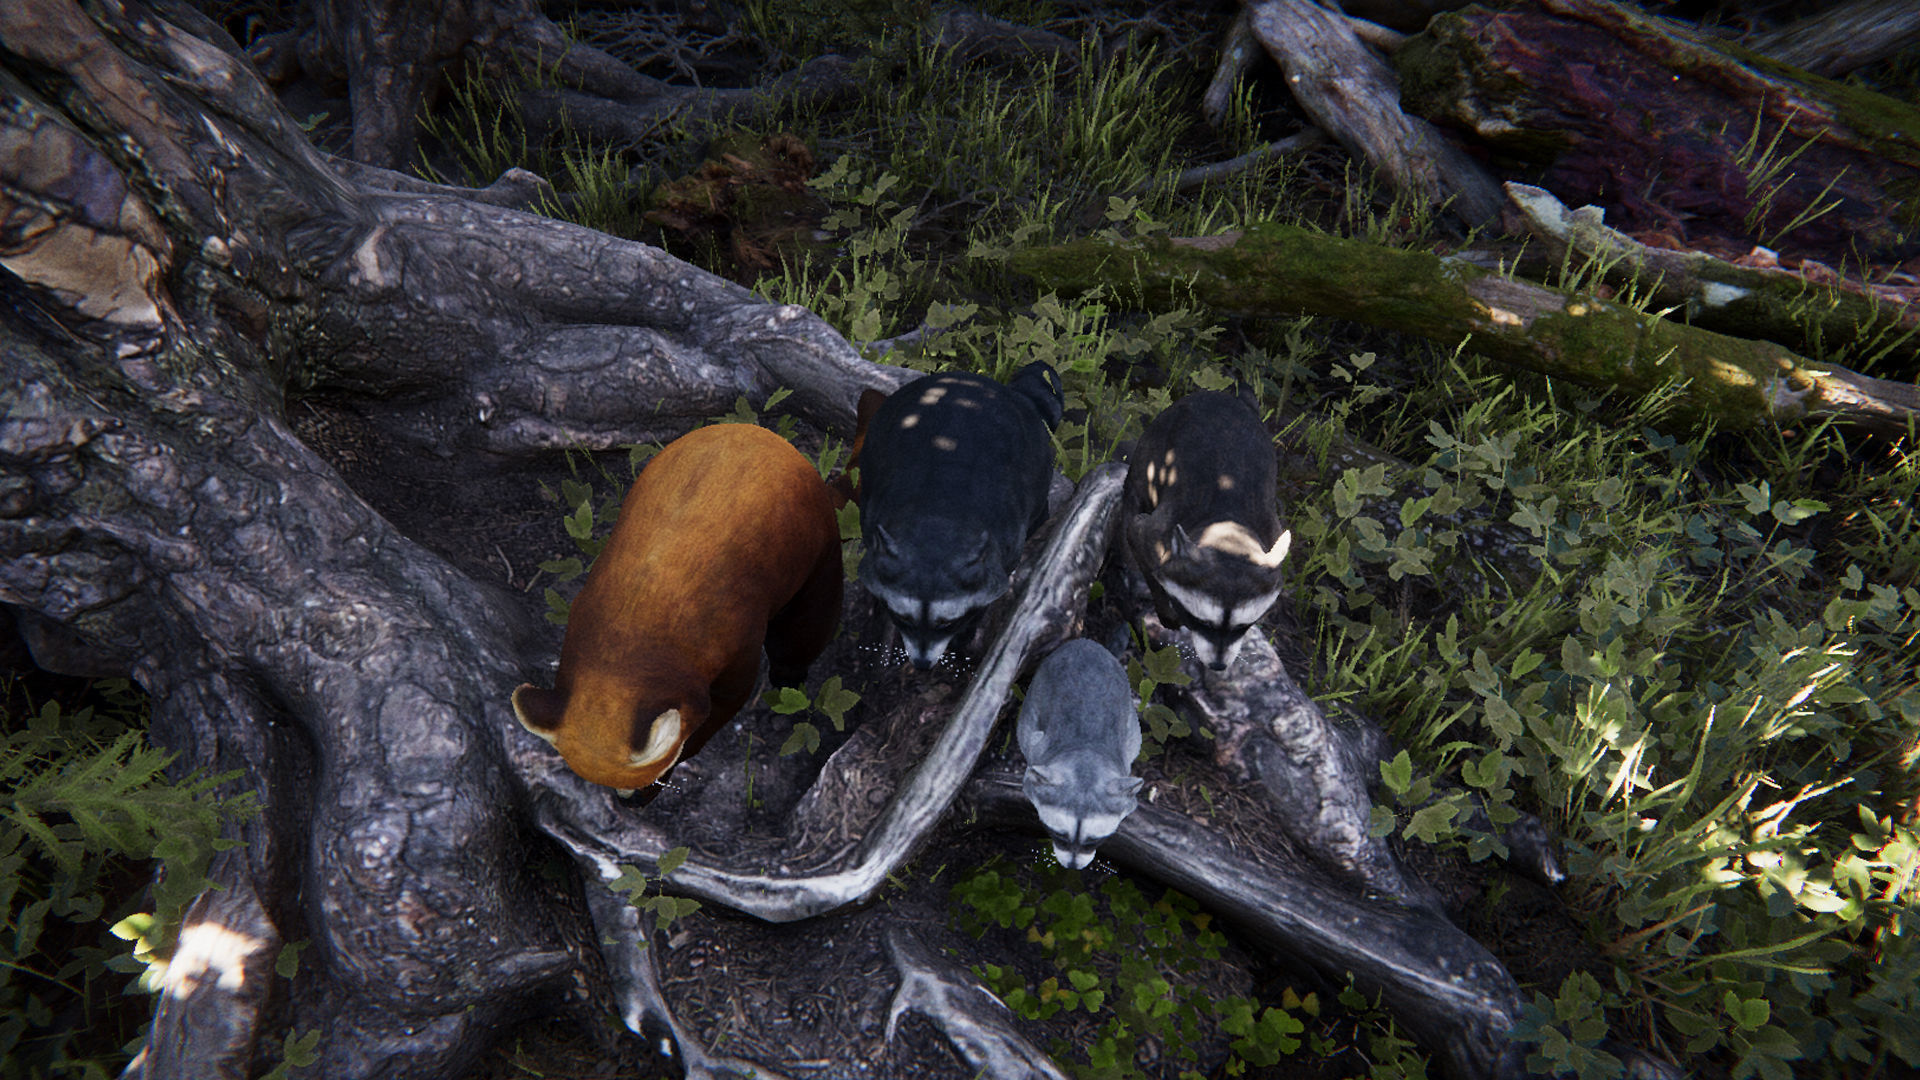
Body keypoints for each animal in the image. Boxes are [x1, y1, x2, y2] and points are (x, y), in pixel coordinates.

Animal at [856, 362, 1063, 669]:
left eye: (946, 623)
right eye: (904, 618)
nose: (922, 664)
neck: (937, 519)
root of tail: (1010, 392)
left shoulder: (1005, 544)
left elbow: (994, 585)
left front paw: (969, 629)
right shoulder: (874, 514)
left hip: (1039, 464)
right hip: (876, 439)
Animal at [1018, 638, 1145, 870]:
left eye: (1092, 841)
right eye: (1060, 836)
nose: (1072, 867)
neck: (1087, 762)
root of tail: (1085, 642)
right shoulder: (1037, 745)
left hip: (1131, 720)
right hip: (1035, 695)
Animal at [1124, 391, 1291, 671]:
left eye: (1243, 626)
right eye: (1202, 622)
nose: (1218, 666)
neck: (1230, 533)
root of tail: (1225, 396)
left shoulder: (1271, 532)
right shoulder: (1154, 534)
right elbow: (1140, 541)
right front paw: (1164, 604)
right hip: (1156, 442)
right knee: (1134, 492)